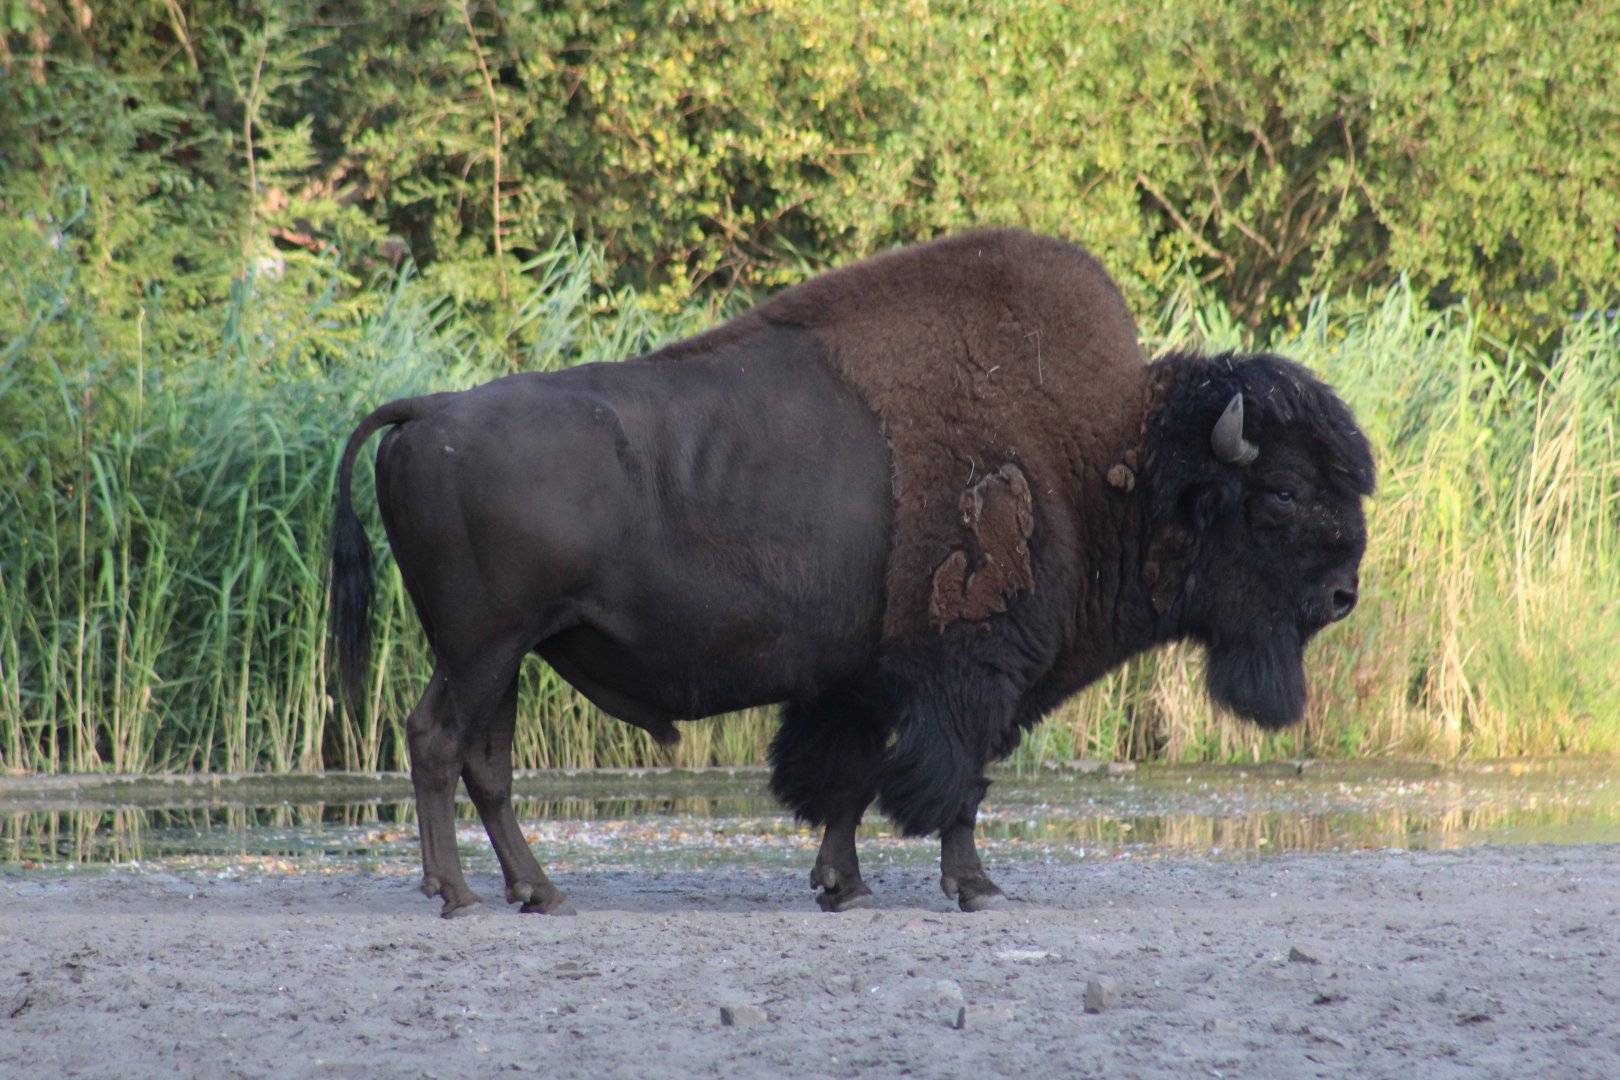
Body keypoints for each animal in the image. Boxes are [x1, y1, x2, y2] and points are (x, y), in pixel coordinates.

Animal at [331, 229, 1375, 916]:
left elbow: (847, 779)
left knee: (484, 762)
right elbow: (953, 781)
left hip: (506, 655)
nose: (1342, 595)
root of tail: (428, 411)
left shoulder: (859, 684)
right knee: (436, 744)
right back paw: (462, 895)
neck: (1104, 455)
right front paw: (976, 888)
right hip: (483, 649)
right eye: (1282, 493)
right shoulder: (971, 674)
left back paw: (535, 891)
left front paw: (843, 884)